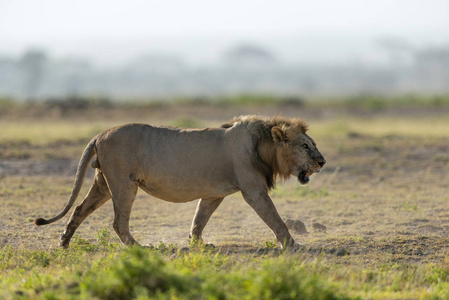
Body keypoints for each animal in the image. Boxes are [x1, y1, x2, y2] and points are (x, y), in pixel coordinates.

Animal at [32, 113, 326, 250]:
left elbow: (199, 219)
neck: (263, 145)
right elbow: (274, 218)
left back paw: (63, 243)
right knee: (118, 222)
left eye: (313, 144)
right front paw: (293, 245)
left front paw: (198, 244)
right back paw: (140, 248)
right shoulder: (253, 190)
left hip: (103, 183)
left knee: (79, 210)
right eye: (305, 145)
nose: (322, 162)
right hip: (123, 183)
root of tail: (100, 134)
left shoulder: (213, 194)